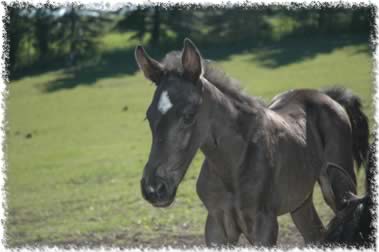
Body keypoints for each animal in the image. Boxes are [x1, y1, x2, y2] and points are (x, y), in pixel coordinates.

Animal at [135, 39, 370, 246]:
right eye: (148, 116)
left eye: (188, 115)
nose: (154, 188)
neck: (232, 164)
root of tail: (326, 95)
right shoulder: (216, 227)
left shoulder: (264, 226)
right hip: (300, 201)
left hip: (341, 185)